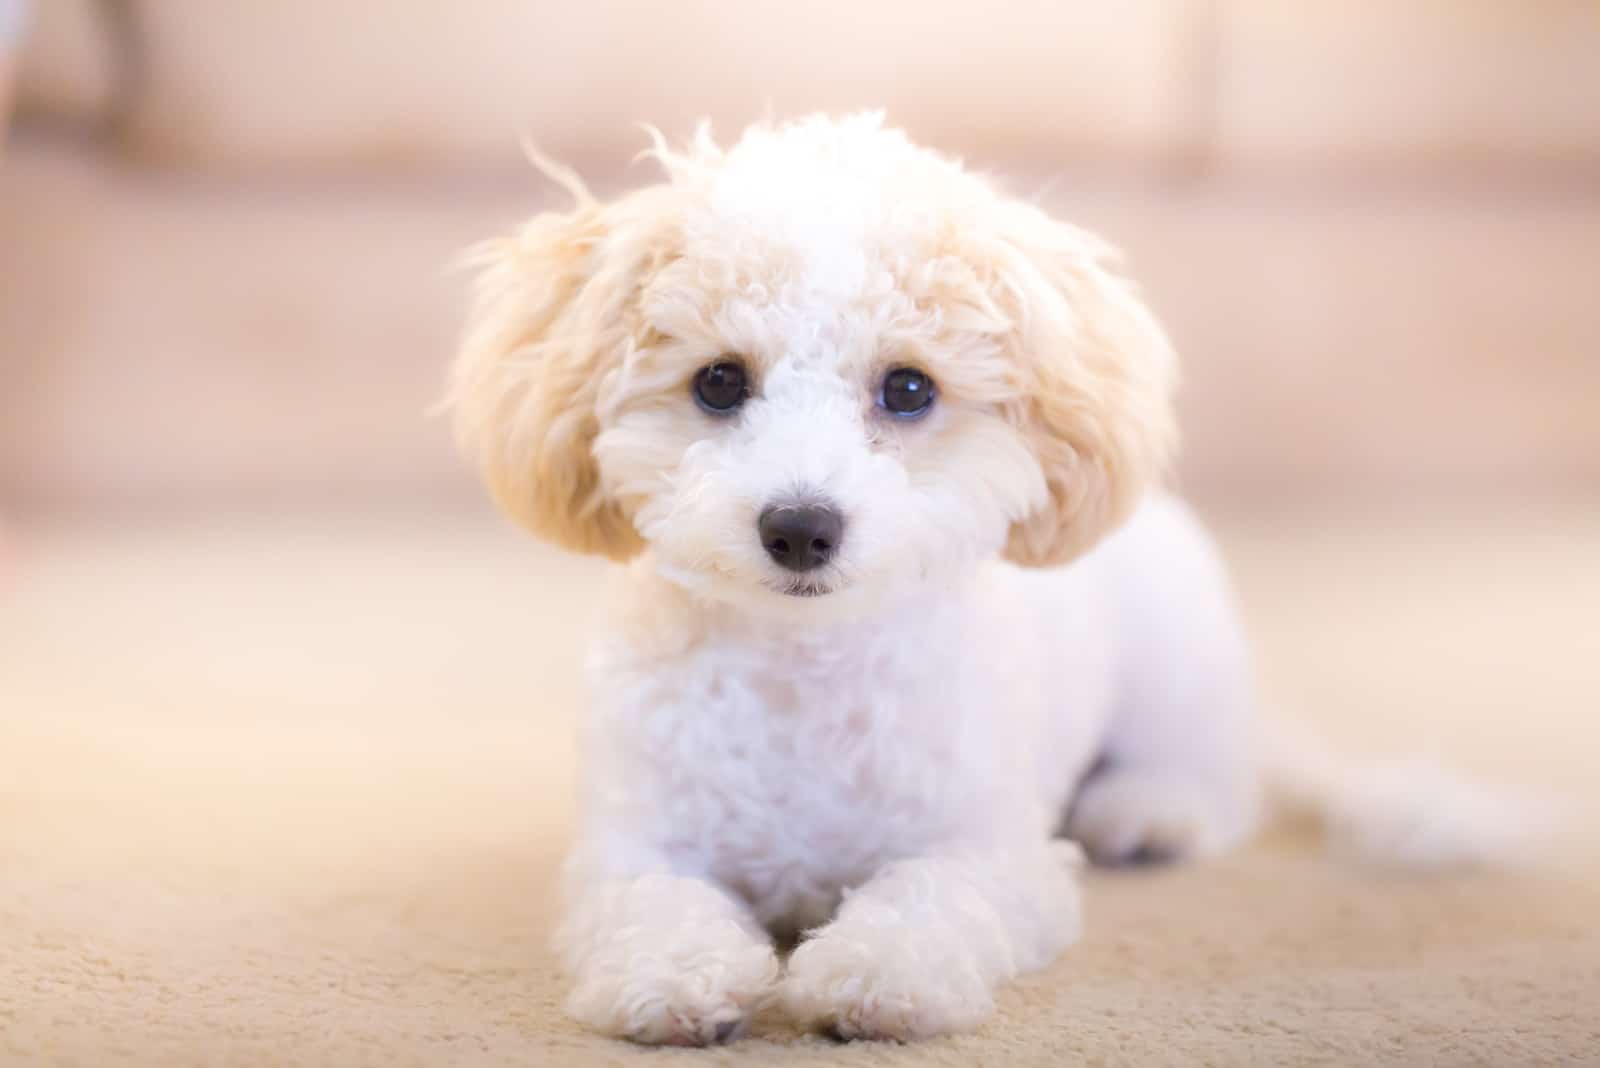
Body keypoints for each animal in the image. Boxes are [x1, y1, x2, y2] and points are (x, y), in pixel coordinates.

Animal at [448, 115, 1510, 1042]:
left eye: (908, 388)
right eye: (717, 381)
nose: (800, 528)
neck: (802, 673)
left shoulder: (996, 852)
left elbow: (930, 896)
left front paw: (875, 973)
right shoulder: (632, 846)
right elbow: (652, 905)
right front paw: (673, 974)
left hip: (1178, 677)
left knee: (1215, 784)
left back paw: (1148, 815)